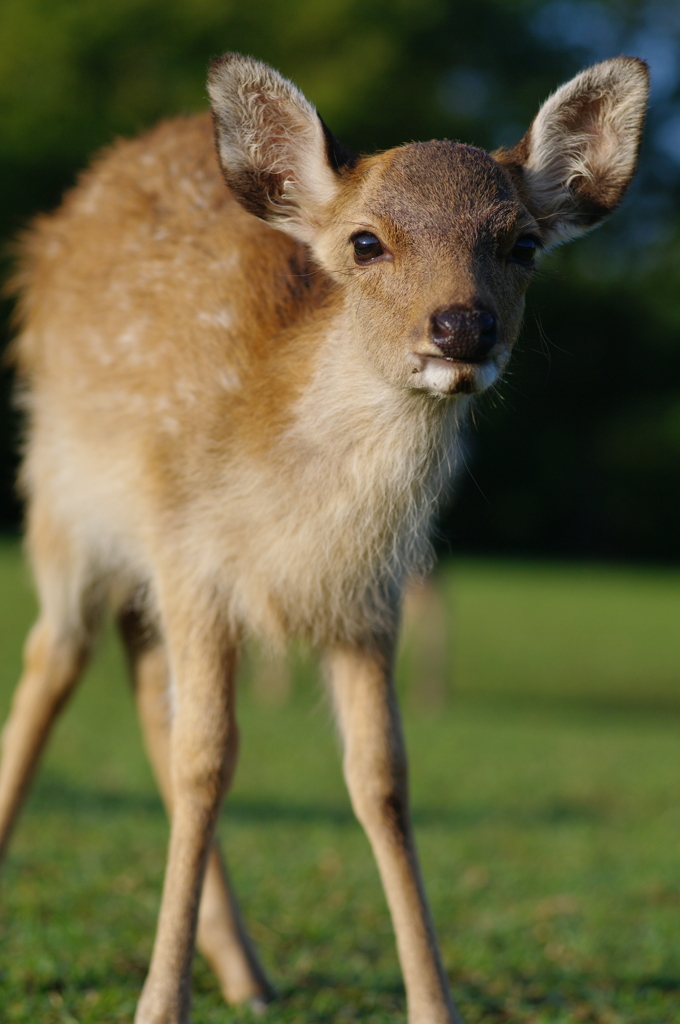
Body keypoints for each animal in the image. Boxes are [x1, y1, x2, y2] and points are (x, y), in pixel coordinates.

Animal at [0, 56, 647, 1024]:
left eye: (523, 244)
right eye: (366, 242)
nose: (462, 327)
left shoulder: (370, 599)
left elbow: (381, 778)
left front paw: (435, 1005)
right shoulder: (193, 556)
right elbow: (207, 763)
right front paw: (157, 1004)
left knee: (142, 685)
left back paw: (247, 973)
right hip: (62, 500)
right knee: (56, 656)